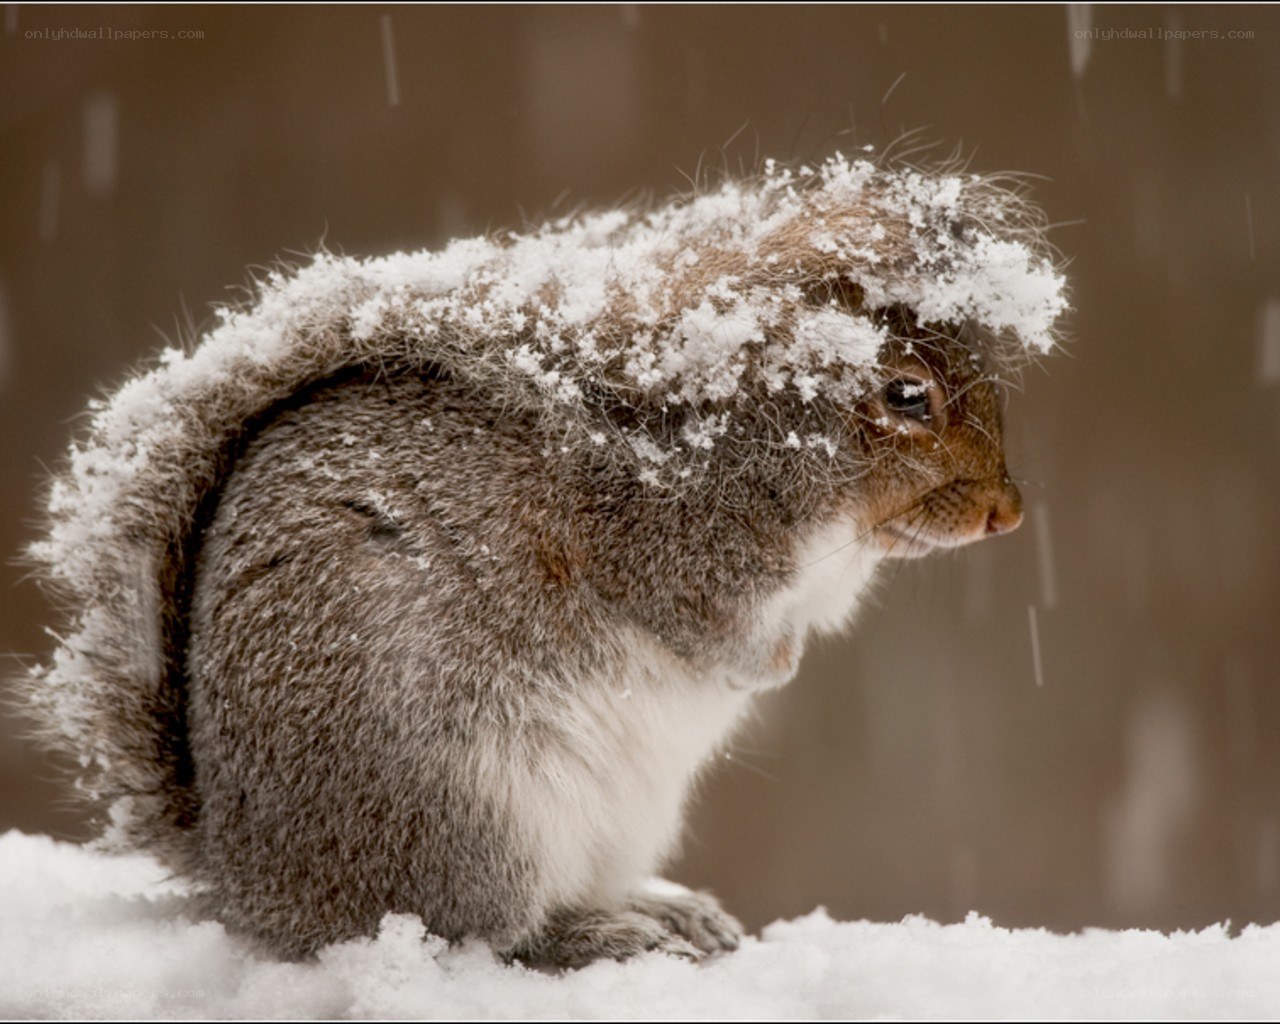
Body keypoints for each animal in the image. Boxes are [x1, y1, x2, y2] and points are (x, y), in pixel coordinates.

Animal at [22, 154, 1066, 967]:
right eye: (906, 394)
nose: (1007, 514)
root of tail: (254, 883)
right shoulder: (663, 546)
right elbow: (702, 625)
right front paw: (765, 667)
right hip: (466, 809)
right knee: (482, 932)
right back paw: (594, 935)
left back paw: (658, 908)